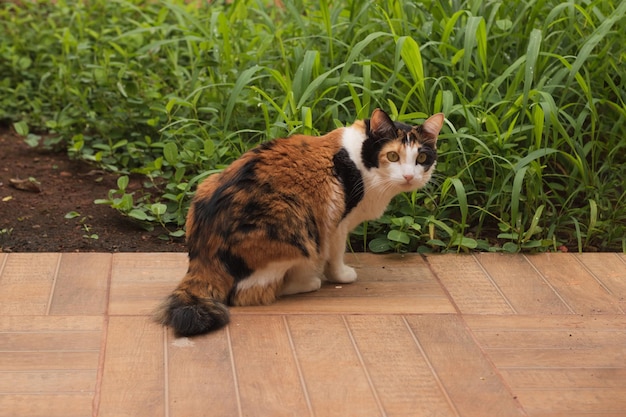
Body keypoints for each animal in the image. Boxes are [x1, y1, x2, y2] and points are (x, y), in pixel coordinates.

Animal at [154, 107, 442, 334]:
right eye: (393, 156)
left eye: (422, 158)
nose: (409, 176)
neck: (360, 158)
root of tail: (202, 259)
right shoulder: (337, 222)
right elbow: (336, 254)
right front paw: (340, 275)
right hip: (296, 228)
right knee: (249, 292)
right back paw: (308, 282)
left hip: (207, 183)